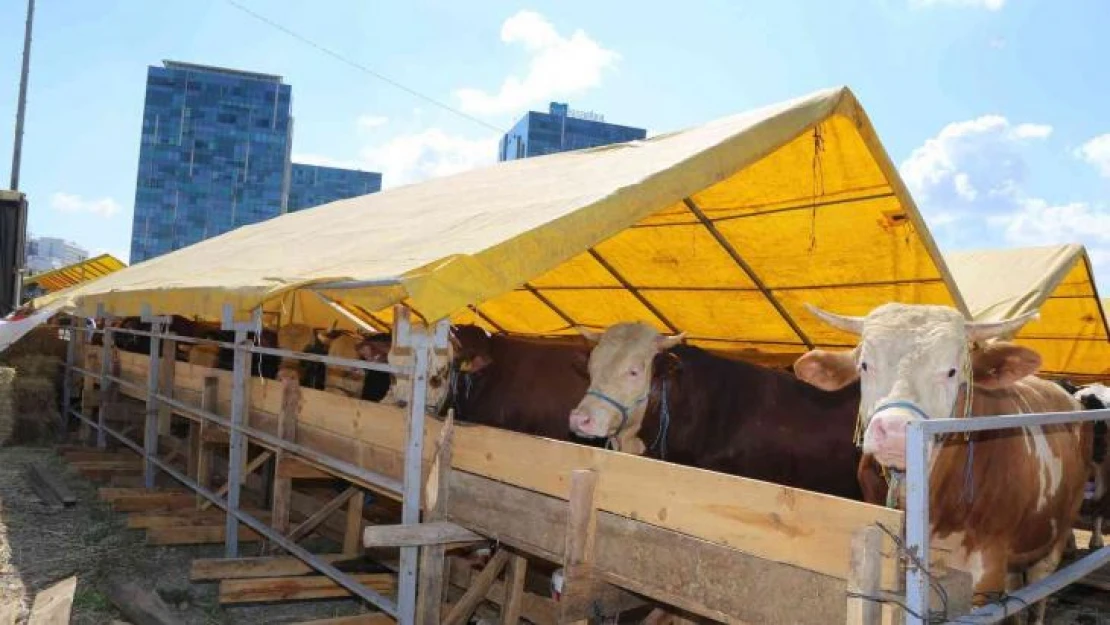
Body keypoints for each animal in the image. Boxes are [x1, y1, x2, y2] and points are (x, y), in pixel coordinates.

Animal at [790, 304, 1092, 625]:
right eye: (865, 366)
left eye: (951, 371)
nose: (895, 431)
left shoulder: (986, 571)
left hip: (1055, 537)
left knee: (1039, 593)